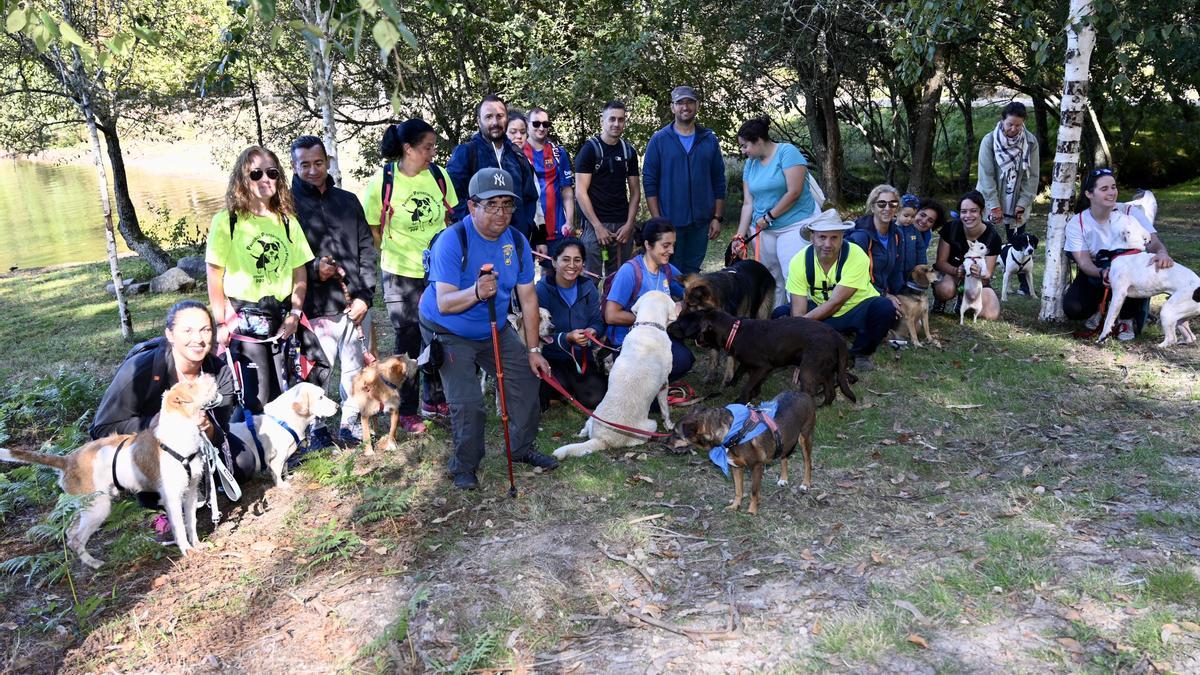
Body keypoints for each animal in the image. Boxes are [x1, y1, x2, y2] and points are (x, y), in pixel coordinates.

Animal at [549, 289, 676, 456]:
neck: (648, 326)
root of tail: (602, 439)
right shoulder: (664, 384)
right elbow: (665, 408)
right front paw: (669, 424)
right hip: (650, 426)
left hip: (593, 415)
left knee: (585, 428)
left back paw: (581, 433)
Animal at [667, 309, 854, 403]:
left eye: (684, 321)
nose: (668, 327)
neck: (734, 331)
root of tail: (837, 337)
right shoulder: (750, 366)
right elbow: (742, 377)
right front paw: (747, 394)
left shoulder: (763, 367)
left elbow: (746, 387)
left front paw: (740, 401)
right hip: (826, 369)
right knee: (830, 392)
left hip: (808, 369)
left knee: (810, 391)